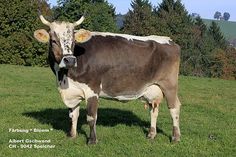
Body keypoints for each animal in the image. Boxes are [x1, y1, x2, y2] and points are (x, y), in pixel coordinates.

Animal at [33, 15, 181, 145]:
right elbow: (73, 115)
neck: (64, 77)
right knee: (154, 110)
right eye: (53, 41)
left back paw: (175, 137)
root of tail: (170, 41)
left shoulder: (92, 90)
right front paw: (72, 135)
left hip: (169, 85)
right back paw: (151, 134)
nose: (70, 60)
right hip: (153, 88)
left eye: (74, 41)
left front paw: (92, 141)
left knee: (174, 108)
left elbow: (91, 117)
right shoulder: (73, 91)